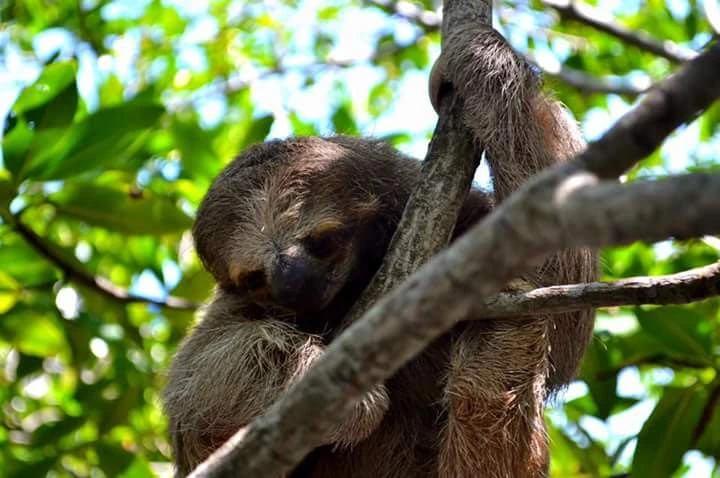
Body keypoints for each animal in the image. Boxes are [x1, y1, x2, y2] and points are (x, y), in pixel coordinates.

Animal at [163, 27, 597, 478]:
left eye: (323, 241)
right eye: (253, 278)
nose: (292, 282)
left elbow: (560, 302)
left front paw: (481, 52)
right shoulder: (230, 310)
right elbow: (195, 388)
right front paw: (336, 394)